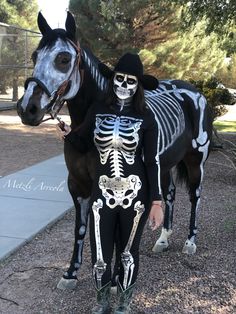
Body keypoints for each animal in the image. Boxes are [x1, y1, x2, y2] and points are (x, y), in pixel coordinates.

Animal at [16, 12, 212, 292]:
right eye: (34, 56)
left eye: (63, 59)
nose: (27, 109)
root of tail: (195, 92)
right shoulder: (77, 184)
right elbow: (81, 229)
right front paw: (71, 274)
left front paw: (116, 278)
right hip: (164, 165)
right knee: (170, 195)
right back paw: (163, 240)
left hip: (196, 161)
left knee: (195, 196)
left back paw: (190, 243)